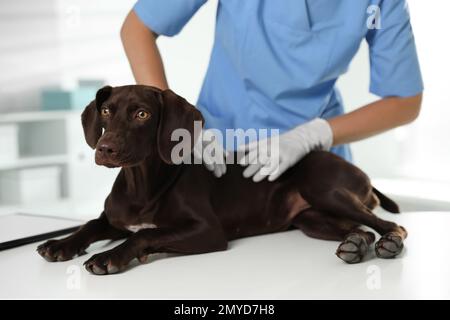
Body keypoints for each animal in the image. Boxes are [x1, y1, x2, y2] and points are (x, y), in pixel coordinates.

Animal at [37, 85, 406, 276]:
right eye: (106, 112)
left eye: (142, 113)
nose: (105, 148)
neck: (141, 184)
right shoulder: (113, 219)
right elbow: (88, 225)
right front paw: (61, 244)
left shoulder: (208, 231)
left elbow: (147, 234)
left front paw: (109, 257)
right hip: (311, 219)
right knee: (359, 231)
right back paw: (355, 245)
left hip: (325, 191)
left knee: (391, 225)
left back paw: (388, 243)